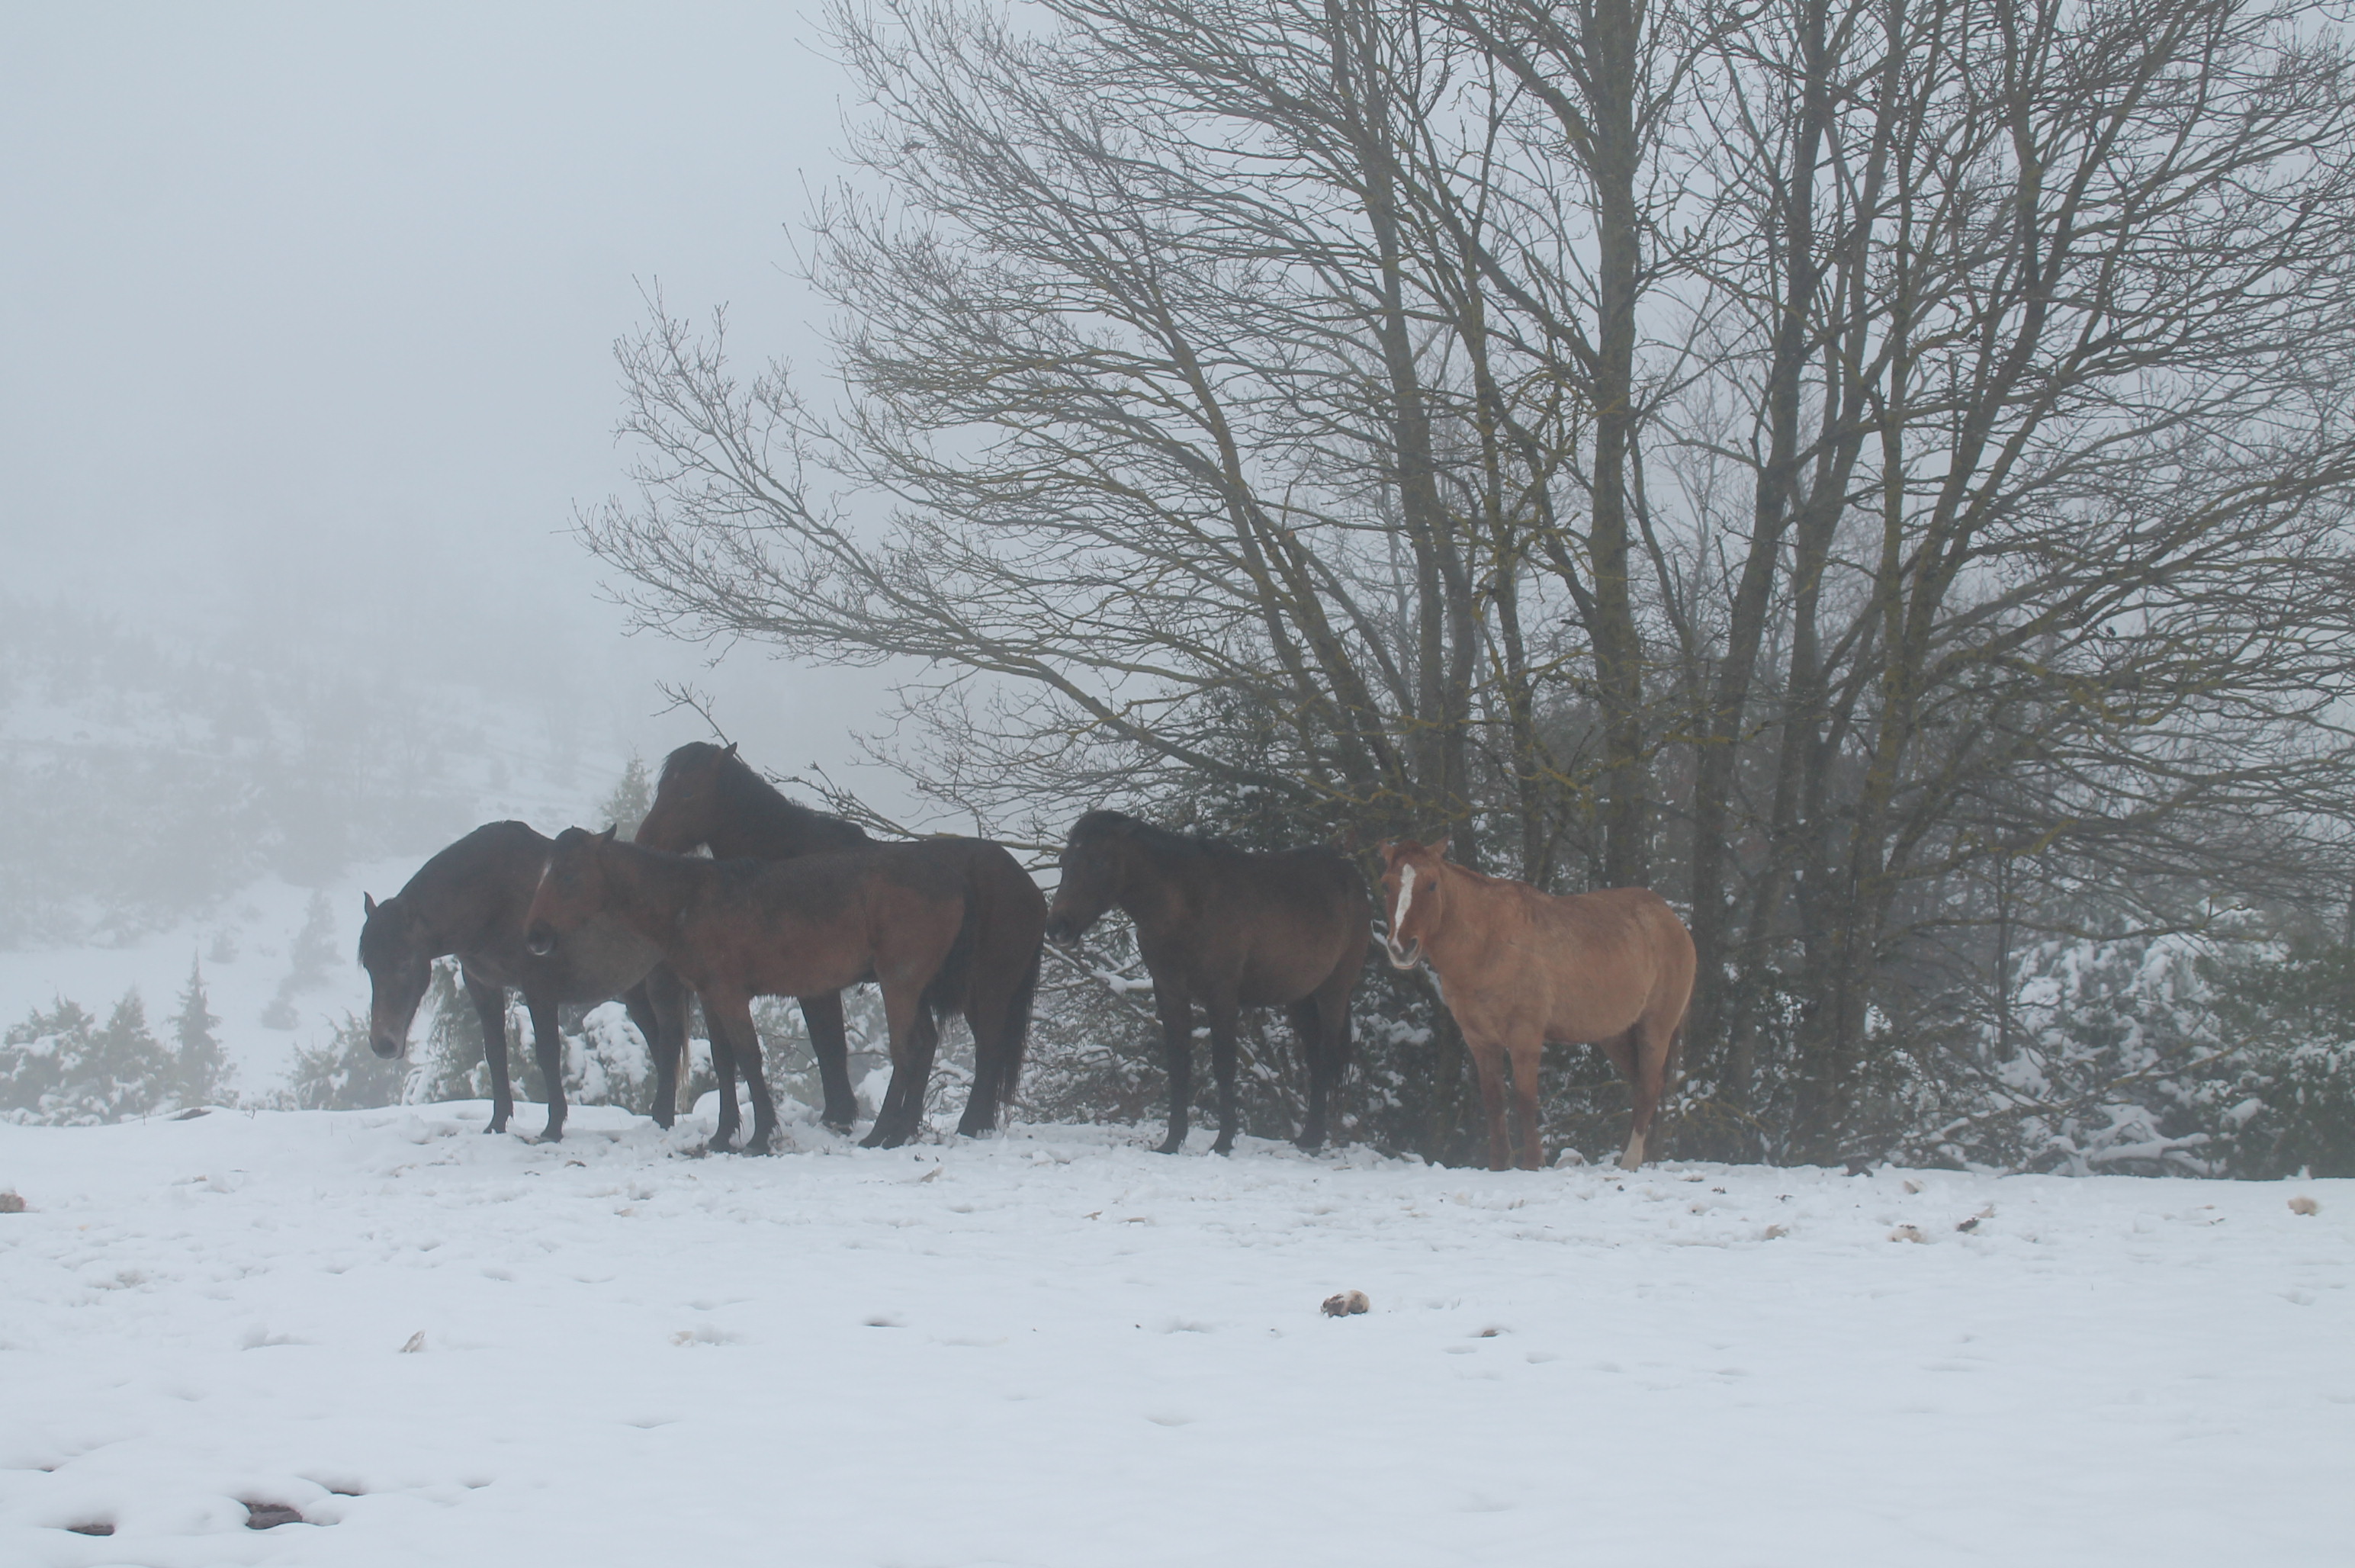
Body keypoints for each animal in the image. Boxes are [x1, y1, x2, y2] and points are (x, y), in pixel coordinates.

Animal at [635, 739, 875, 1129]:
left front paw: (838, 1118)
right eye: (662, 788)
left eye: (687, 792)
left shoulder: (817, 988)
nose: (644, 843)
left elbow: (830, 1048)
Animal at [1046, 809, 1366, 1153]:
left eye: (1099, 862)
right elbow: (1178, 1065)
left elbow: (1223, 1064)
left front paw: (1223, 1142)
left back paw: (1315, 1138)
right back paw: (1307, 1136)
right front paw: (1171, 1142)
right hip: (1299, 997)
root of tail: (1350, 873)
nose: (1059, 927)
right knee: (1315, 1058)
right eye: (1064, 861)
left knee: (1327, 1054)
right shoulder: (1170, 992)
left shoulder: (1221, 994)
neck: (1184, 903)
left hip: (1334, 990)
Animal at [1375, 838, 1695, 1168]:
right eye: (1386, 885)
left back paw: (1629, 1160)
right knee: (1641, 1085)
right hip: (1617, 1035)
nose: (1401, 948)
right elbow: (1494, 1102)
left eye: (1432, 884)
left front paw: (1533, 1163)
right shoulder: (1480, 1040)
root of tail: (1671, 919)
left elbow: (1526, 1101)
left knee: (1649, 1088)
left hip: (1655, 1028)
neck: (1488, 944)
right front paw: (1499, 1166)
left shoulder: (1525, 1036)